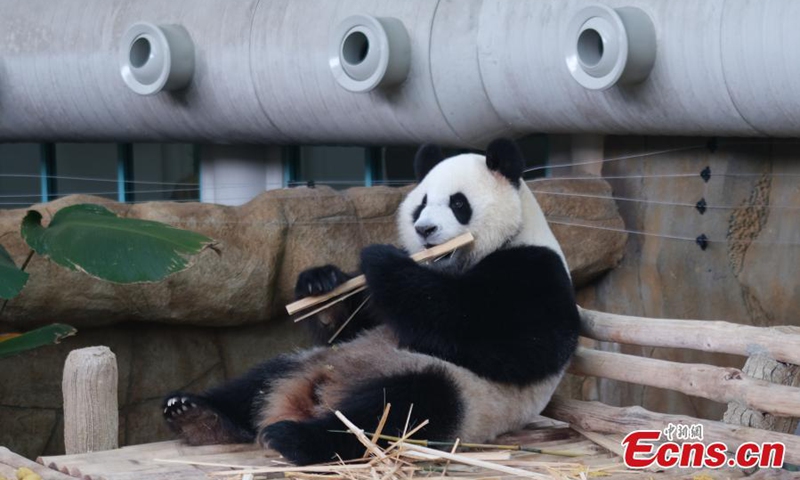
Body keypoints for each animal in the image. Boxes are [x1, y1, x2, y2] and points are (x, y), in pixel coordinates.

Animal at [162, 138, 580, 466]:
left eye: (458, 203)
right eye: (421, 203)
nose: (424, 229)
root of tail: (318, 391)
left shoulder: (534, 271)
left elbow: (507, 340)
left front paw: (382, 262)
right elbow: (354, 323)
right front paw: (320, 283)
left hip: (462, 393)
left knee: (398, 408)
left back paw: (294, 438)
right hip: (310, 360)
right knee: (256, 381)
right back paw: (196, 413)